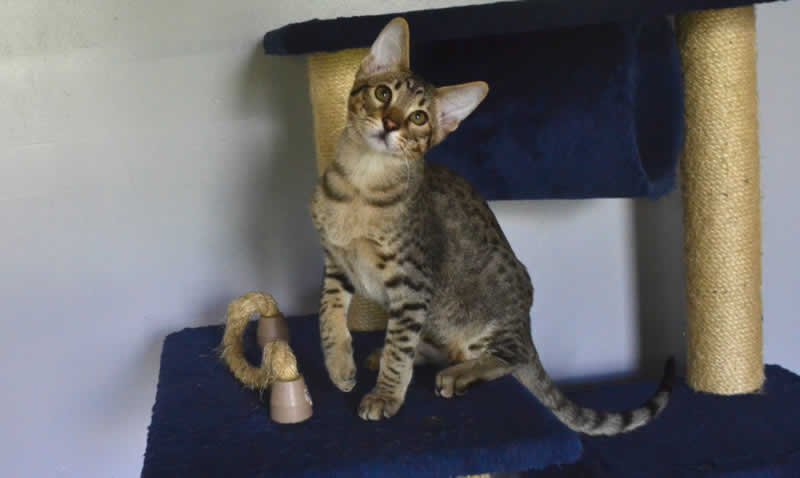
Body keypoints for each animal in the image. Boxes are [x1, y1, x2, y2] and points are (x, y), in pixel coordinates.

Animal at [310, 17, 674, 435]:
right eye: (383, 93)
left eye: (419, 118)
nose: (390, 123)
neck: (361, 184)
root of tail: (525, 327)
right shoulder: (337, 262)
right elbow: (328, 313)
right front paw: (339, 366)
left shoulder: (413, 282)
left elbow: (399, 348)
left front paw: (385, 396)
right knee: (436, 347)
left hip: (488, 318)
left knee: (507, 360)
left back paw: (458, 374)